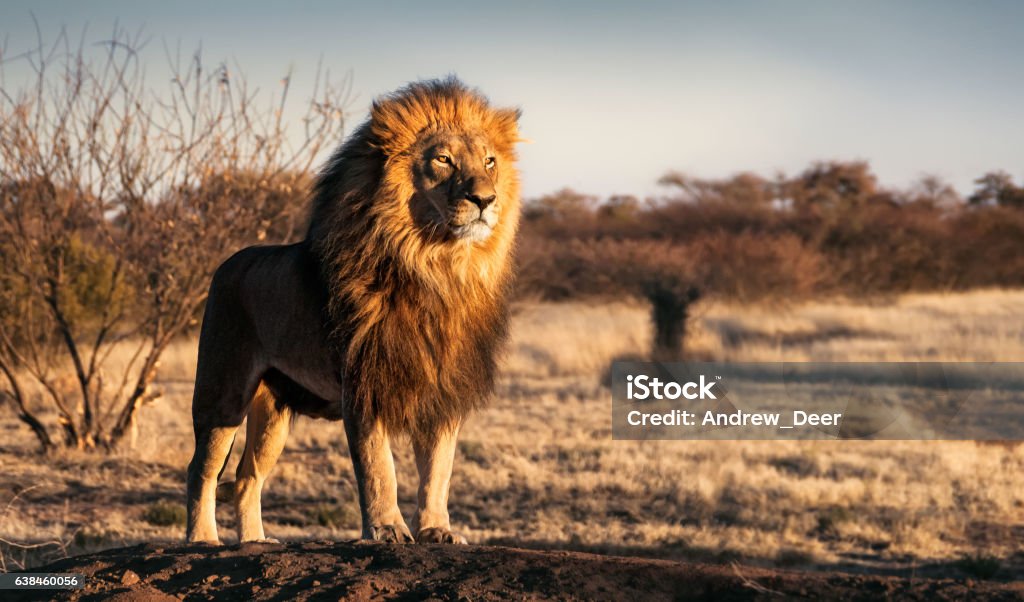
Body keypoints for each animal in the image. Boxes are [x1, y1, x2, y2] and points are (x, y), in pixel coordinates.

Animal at [183, 77, 520, 544]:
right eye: (443, 159)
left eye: (489, 161)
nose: (485, 198)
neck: (437, 267)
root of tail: (227, 262)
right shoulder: (363, 382)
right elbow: (379, 467)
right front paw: (387, 529)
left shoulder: (443, 389)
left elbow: (439, 469)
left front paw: (437, 529)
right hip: (223, 393)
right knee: (202, 469)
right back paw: (202, 539)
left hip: (273, 411)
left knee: (247, 476)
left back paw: (254, 542)